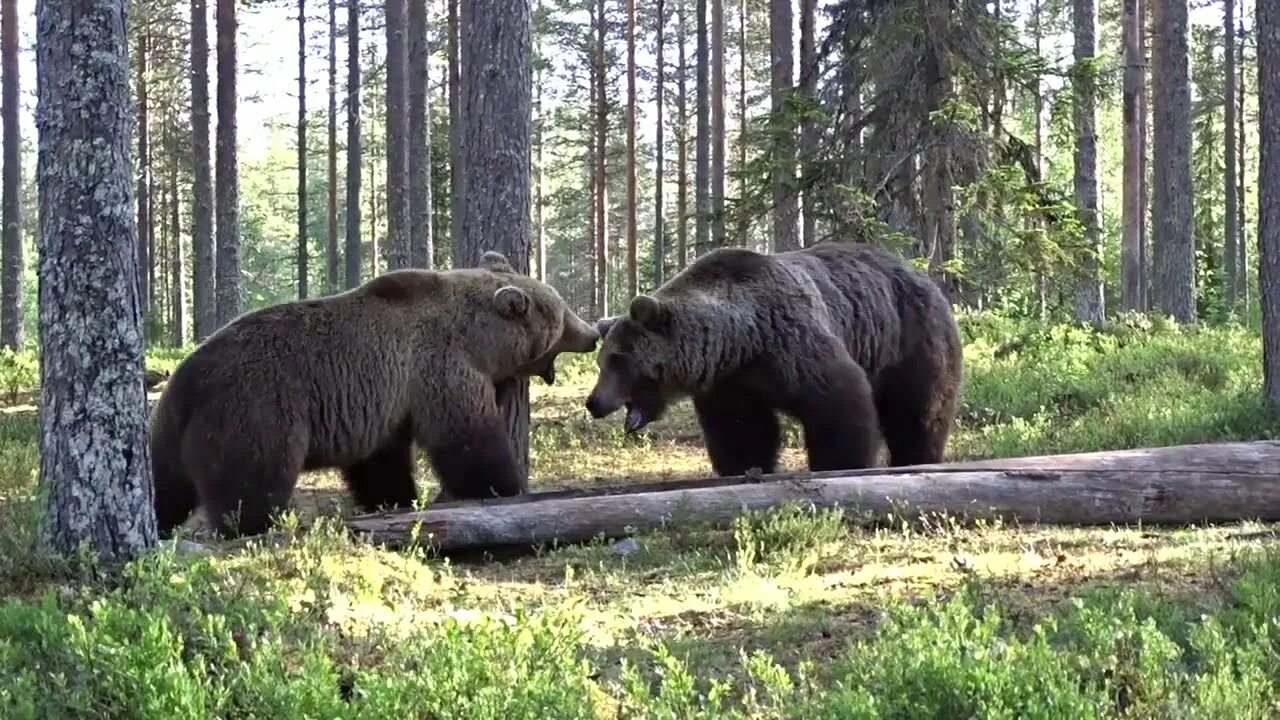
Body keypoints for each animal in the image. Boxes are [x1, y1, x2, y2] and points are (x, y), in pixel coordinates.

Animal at [151, 249, 599, 535]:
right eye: (562, 315)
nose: (593, 333)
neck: (477, 339)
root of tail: (185, 381)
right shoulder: (439, 371)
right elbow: (469, 439)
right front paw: (505, 485)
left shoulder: (381, 408)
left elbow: (381, 465)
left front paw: (394, 501)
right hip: (255, 411)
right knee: (251, 483)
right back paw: (252, 527)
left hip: (170, 433)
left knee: (167, 487)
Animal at [586, 240, 962, 474]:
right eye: (602, 360)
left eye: (619, 359)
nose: (594, 402)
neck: (740, 341)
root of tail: (925, 276)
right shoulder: (731, 385)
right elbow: (741, 430)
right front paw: (744, 466)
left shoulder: (793, 347)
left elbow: (840, 405)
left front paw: (838, 462)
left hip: (912, 342)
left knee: (919, 411)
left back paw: (918, 456)